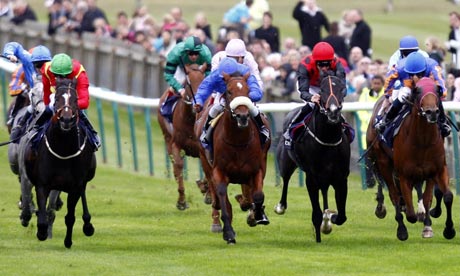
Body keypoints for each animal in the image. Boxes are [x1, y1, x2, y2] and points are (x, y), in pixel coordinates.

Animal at [18, 77, 96, 248]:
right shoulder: (42, 184)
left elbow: (70, 216)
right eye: (58, 98)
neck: (63, 150)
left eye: (75, 99)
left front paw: (68, 241)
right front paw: (41, 232)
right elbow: (41, 214)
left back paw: (88, 225)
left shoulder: (74, 186)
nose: (66, 119)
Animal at [158, 63, 208, 209]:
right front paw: (181, 201)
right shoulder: (176, 144)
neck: (191, 121)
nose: (197, 105)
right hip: (167, 138)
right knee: (175, 167)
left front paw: (206, 189)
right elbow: (179, 166)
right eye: (187, 84)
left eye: (203, 81)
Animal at [193, 71, 270, 244]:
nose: (242, 116)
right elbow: (222, 196)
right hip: (205, 160)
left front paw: (257, 215)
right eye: (228, 91)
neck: (238, 141)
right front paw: (228, 233)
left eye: (248, 91)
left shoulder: (257, 169)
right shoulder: (219, 171)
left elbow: (258, 195)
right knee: (217, 194)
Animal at [274, 74, 348, 243]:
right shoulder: (312, 178)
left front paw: (330, 219)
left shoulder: (341, 178)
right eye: (322, 90)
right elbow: (317, 213)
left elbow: (341, 216)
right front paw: (319, 235)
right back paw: (281, 206)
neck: (328, 139)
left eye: (342, 88)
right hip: (285, 162)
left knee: (325, 191)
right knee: (285, 180)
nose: (333, 112)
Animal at [366, 77, 456, 239]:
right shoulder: (404, 174)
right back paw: (398, 225)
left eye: (437, 90)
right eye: (417, 91)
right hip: (382, 161)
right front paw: (413, 217)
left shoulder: (436, 170)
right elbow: (410, 212)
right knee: (393, 193)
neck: (423, 141)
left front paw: (444, 229)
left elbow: (441, 197)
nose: (432, 112)